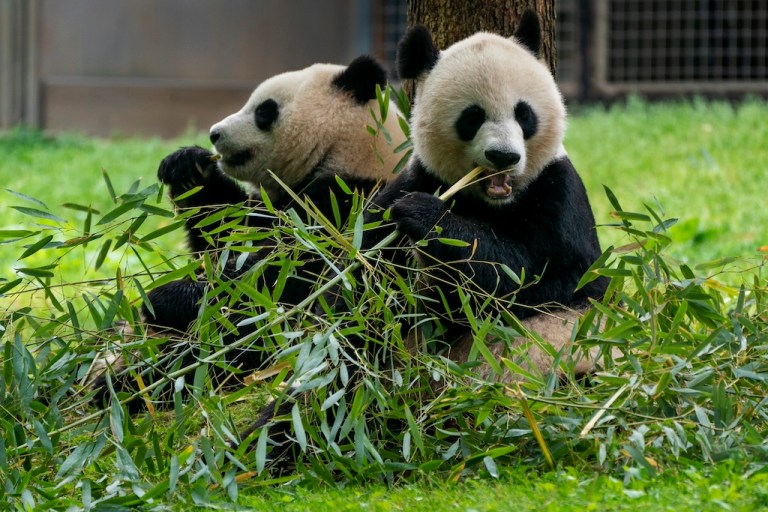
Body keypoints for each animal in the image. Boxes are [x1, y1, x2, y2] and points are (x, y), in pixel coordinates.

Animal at [91, 55, 407, 410]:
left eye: (264, 111)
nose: (214, 134)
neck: (349, 152)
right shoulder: (271, 206)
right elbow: (223, 234)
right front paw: (187, 166)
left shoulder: (347, 209)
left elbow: (277, 282)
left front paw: (163, 298)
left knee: (216, 355)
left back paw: (124, 387)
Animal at [239, 11, 610, 464]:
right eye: (472, 116)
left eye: (524, 114)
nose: (503, 157)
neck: (489, 202)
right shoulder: (408, 185)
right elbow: (361, 295)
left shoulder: (558, 196)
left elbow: (531, 277)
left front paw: (427, 217)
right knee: (333, 388)